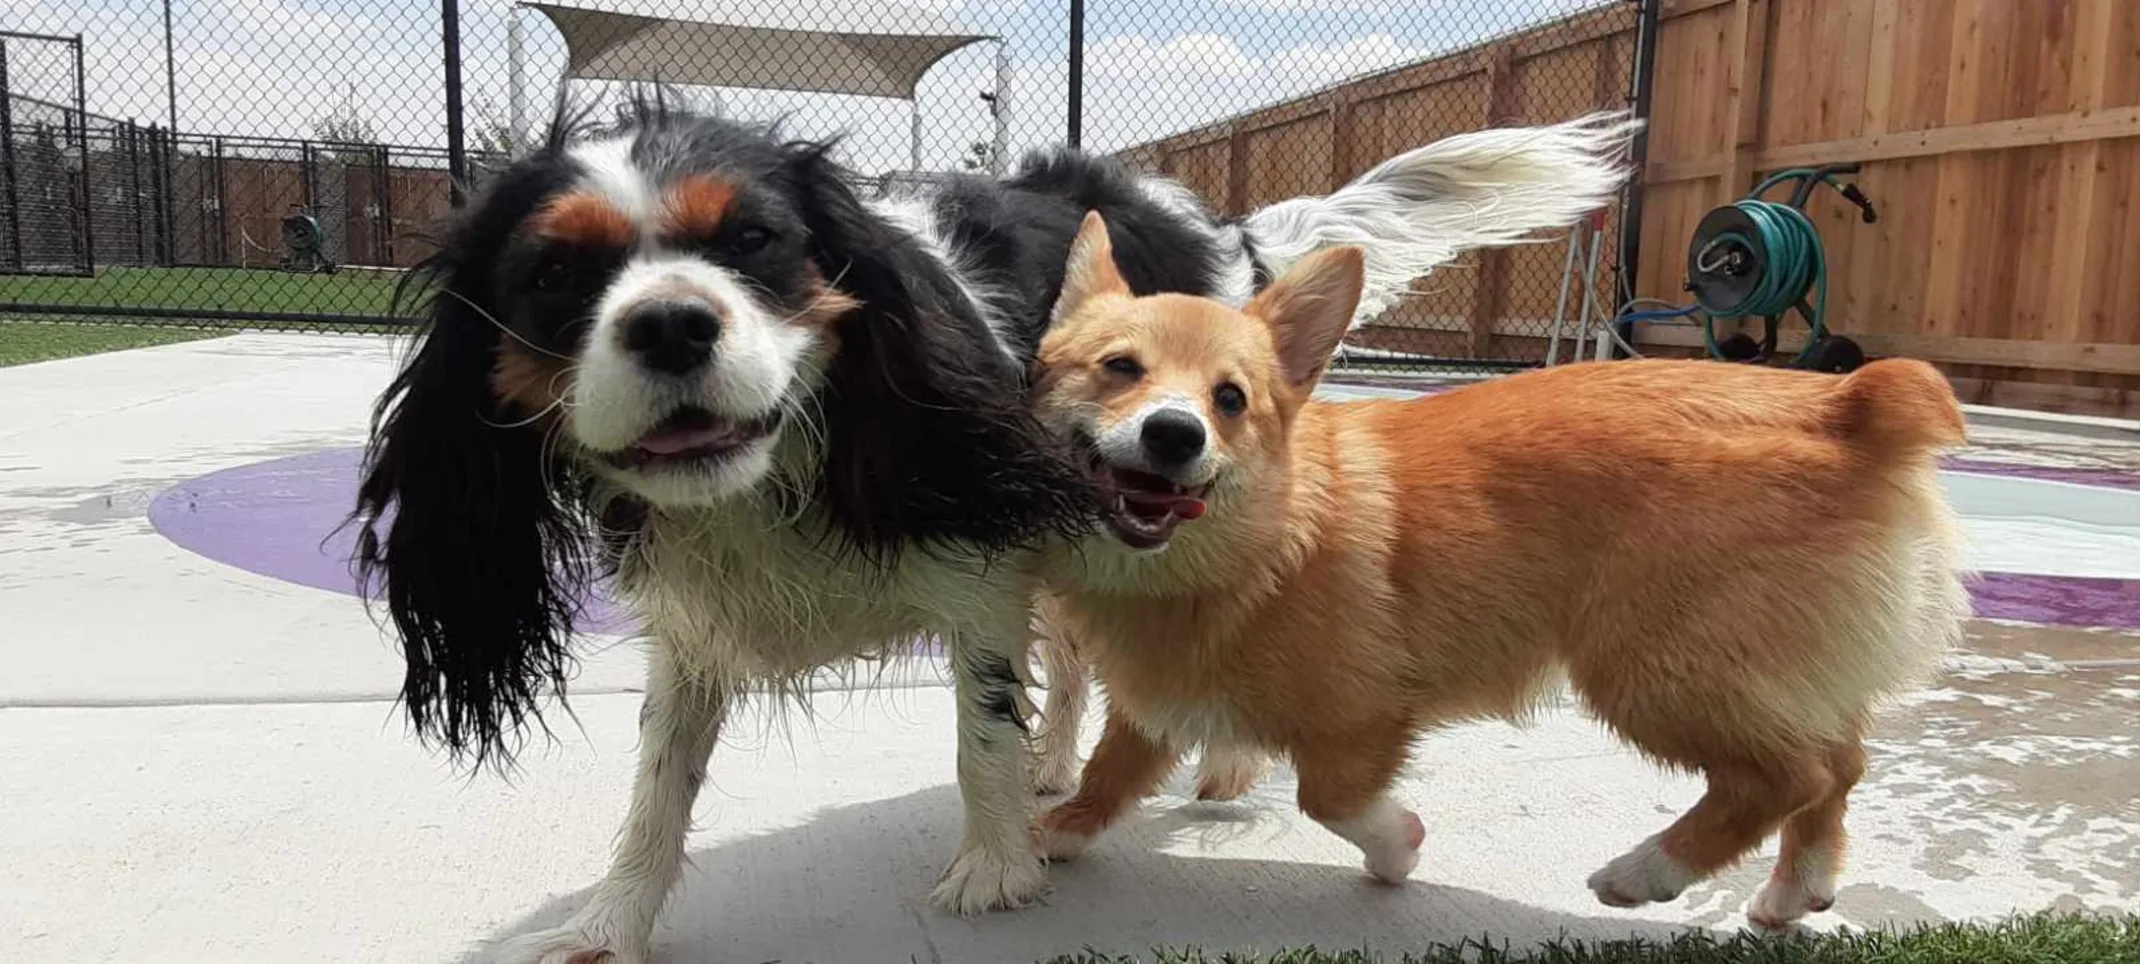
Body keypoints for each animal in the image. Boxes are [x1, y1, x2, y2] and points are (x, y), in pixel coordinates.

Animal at [355, 99, 1634, 964]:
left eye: (755, 243)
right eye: (553, 273)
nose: (670, 322)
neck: (787, 466)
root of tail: (1211, 220)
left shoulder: (980, 559)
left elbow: (979, 724)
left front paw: (993, 865)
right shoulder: (697, 629)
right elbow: (658, 785)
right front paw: (611, 917)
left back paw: (1209, 764)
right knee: (1070, 664)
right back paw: (1059, 763)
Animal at [1027, 213, 1960, 925]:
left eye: (1230, 400)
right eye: (1119, 368)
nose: (1174, 434)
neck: (1247, 542)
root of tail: (1844, 409)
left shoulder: (1365, 718)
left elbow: (1329, 798)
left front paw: (1397, 850)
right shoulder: (1153, 698)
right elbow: (1112, 768)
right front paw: (1054, 832)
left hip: (1653, 673)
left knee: (1791, 774)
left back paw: (1645, 873)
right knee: (1839, 766)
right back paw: (1795, 891)